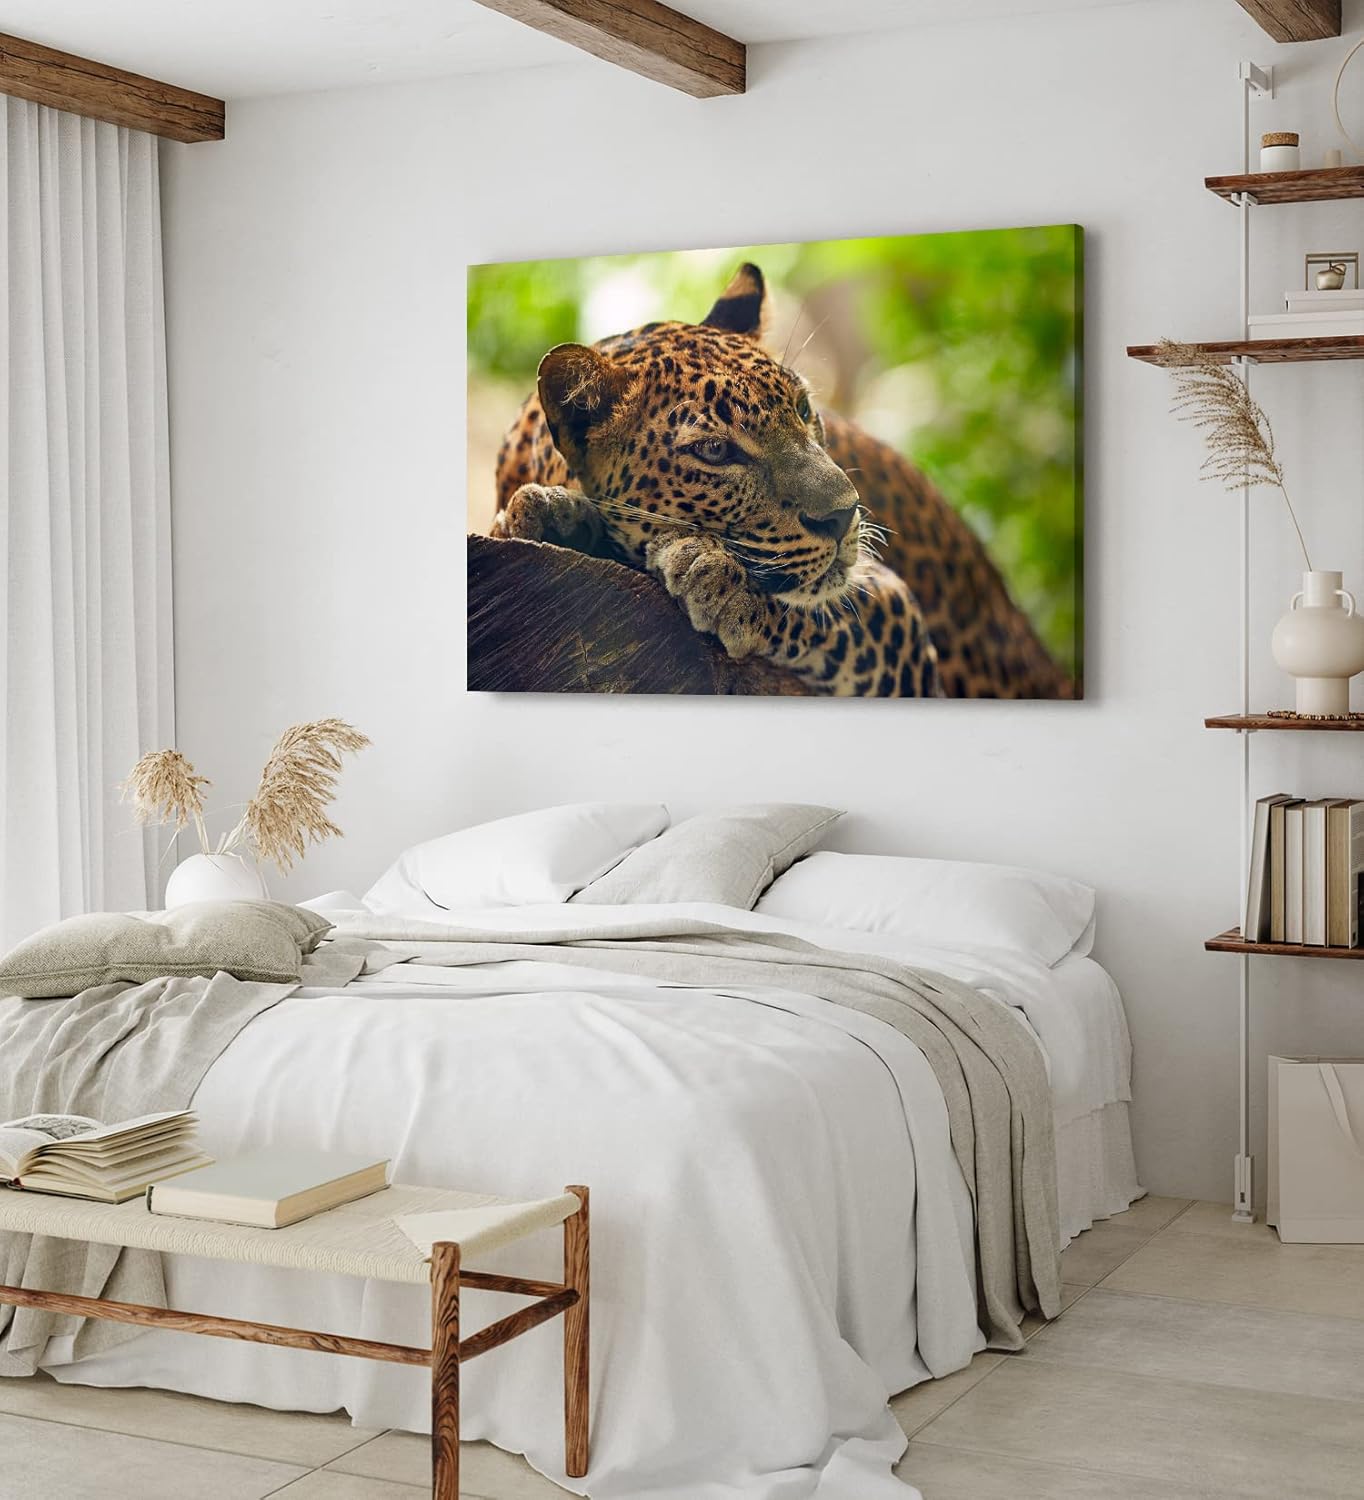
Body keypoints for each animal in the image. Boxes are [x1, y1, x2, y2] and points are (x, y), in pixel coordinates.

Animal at [489, 262, 1072, 699]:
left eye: (803, 408)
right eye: (716, 450)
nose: (844, 514)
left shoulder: (898, 614)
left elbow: (834, 609)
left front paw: (720, 581)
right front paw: (549, 513)